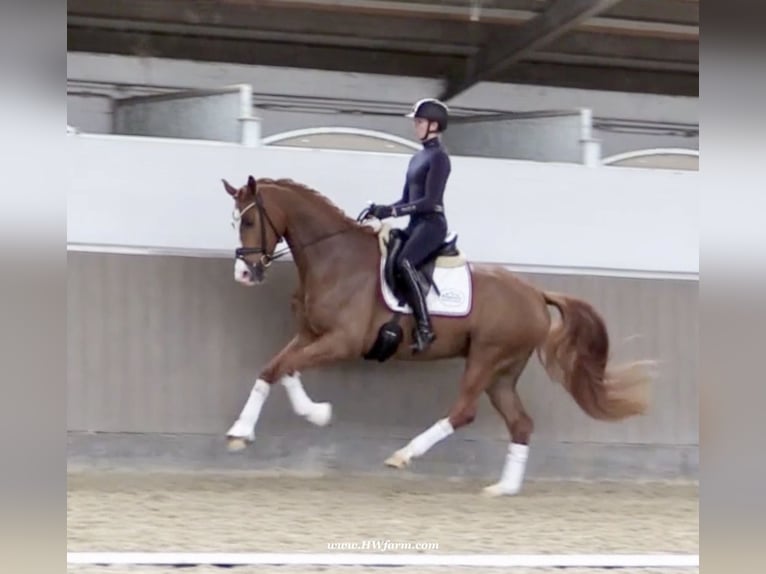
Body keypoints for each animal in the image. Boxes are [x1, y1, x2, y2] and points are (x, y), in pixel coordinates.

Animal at [220, 177, 656, 500]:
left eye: (248, 222)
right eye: (234, 222)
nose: (243, 274)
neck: (336, 259)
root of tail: (535, 293)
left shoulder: (342, 341)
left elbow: (287, 367)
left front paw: (316, 414)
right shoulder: (310, 334)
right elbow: (275, 369)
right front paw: (246, 431)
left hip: (486, 357)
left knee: (463, 411)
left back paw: (404, 455)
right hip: (502, 372)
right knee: (521, 423)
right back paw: (503, 488)